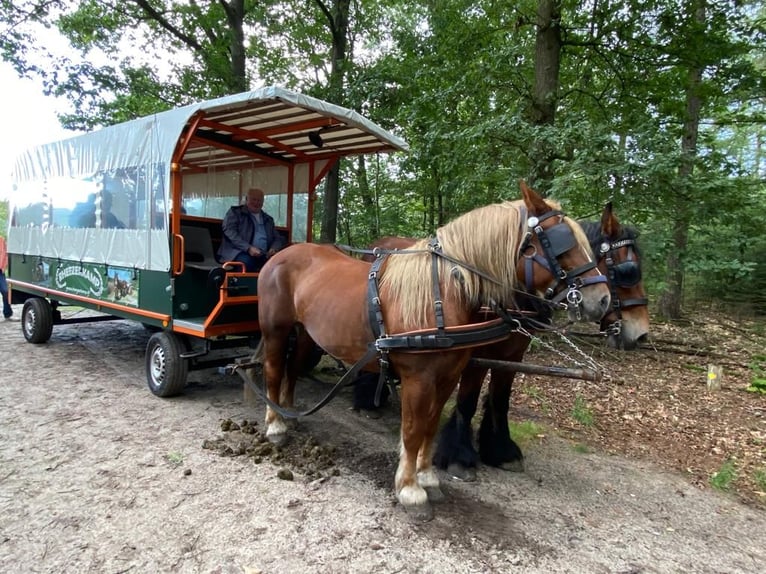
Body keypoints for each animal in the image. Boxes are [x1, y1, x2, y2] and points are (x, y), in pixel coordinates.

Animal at [256, 183, 612, 520]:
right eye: (561, 243)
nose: (603, 299)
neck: (444, 294)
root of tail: (284, 252)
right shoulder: (419, 378)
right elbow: (413, 430)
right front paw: (410, 490)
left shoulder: (449, 375)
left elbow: (430, 424)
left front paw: (427, 476)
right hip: (275, 331)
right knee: (273, 371)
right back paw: (275, 425)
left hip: (306, 333)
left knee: (292, 368)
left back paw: (288, 413)